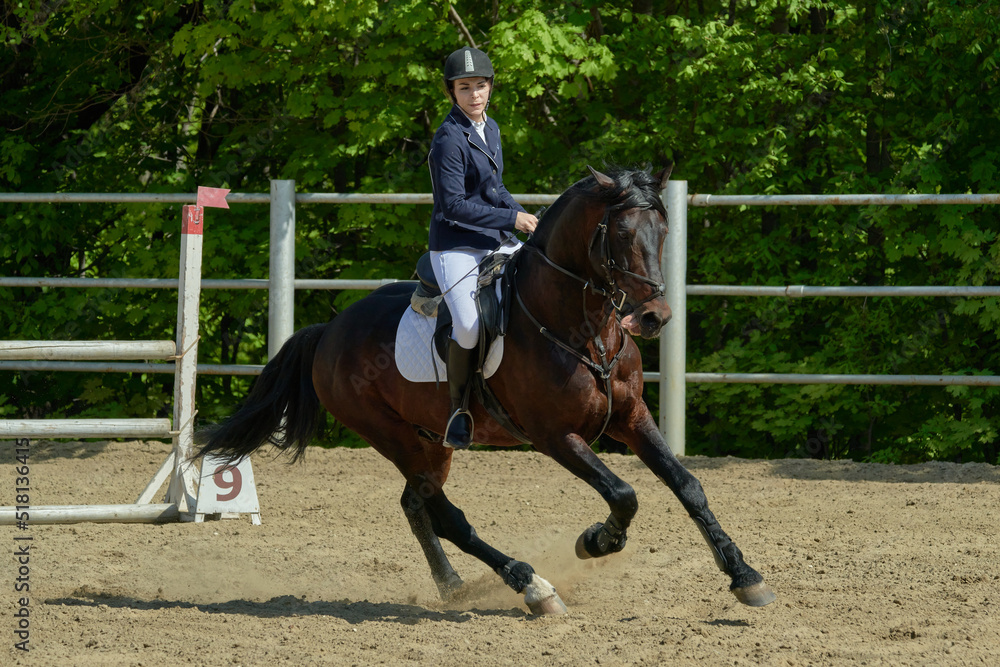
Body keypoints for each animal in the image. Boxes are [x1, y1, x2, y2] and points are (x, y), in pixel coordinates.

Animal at [193, 166, 772, 616]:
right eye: (623, 232)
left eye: (663, 229)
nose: (654, 317)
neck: (581, 327)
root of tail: (328, 330)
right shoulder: (555, 437)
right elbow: (623, 494)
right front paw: (596, 542)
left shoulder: (631, 417)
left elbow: (688, 485)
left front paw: (745, 577)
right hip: (392, 436)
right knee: (447, 516)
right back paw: (533, 586)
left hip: (429, 441)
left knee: (417, 503)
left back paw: (454, 585)